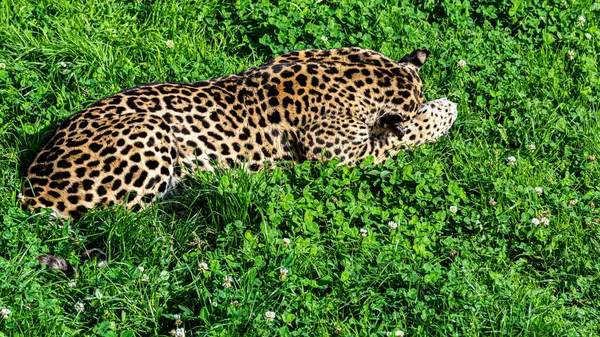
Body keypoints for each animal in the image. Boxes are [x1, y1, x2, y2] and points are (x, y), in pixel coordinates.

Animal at [21, 47, 458, 220]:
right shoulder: (342, 158)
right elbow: (403, 136)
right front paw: (445, 111)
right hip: (150, 132)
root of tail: (31, 185)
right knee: (122, 220)